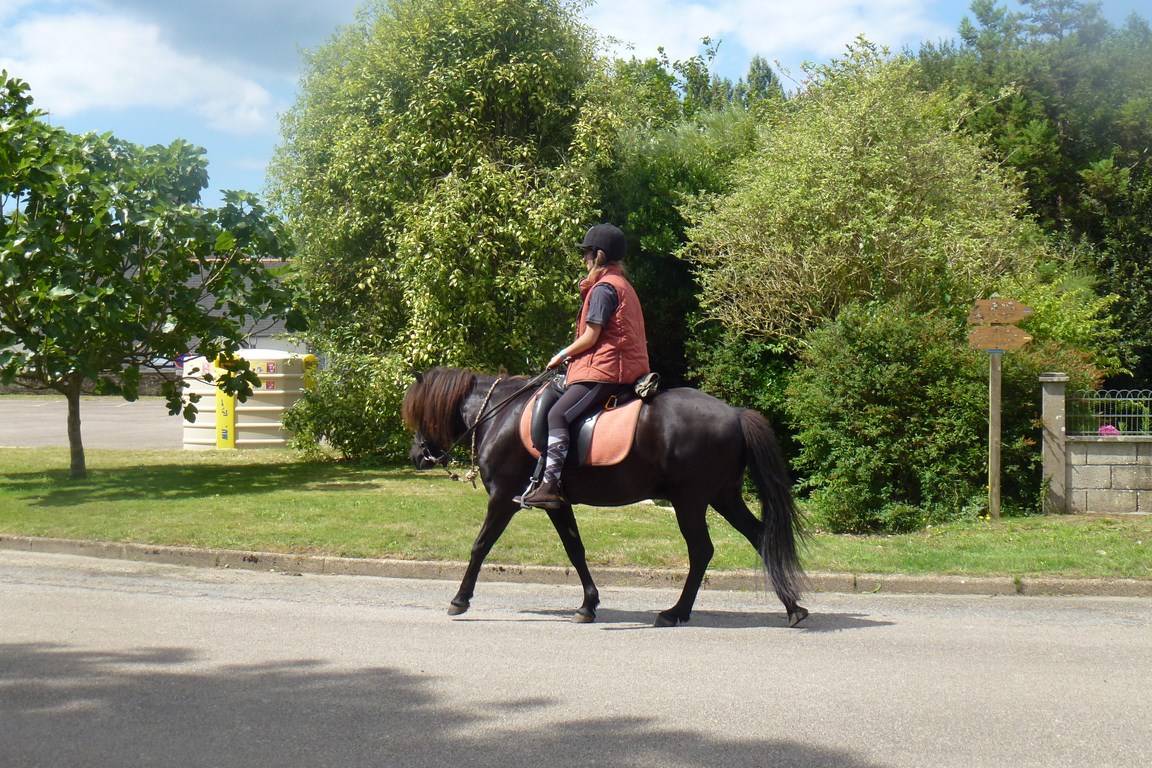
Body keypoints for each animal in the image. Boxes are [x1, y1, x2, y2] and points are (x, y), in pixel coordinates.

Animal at [401, 367, 808, 628]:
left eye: (419, 414)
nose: (417, 455)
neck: (502, 415)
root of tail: (735, 414)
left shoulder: (503, 498)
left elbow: (480, 546)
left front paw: (459, 600)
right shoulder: (557, 503)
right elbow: (575, 549)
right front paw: (588, 604)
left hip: (690, 500)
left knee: (702, 551)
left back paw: (675, 612)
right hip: (723, 497)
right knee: (759, 536)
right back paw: (792, 607)